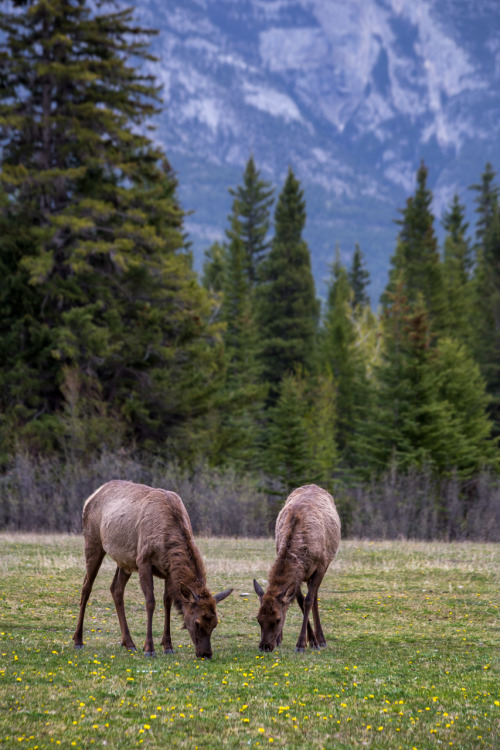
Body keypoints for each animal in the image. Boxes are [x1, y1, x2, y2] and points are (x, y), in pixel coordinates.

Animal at [73, 484, 233, 660]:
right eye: (197, 622)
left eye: (215, 623)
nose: (206, 654)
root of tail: (91, 496)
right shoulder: (143, 560)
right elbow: (150, 602)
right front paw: (149, 648)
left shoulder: (168, 570)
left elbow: (167, 602)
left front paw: (168, 646)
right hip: (93, 542)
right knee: (86, 588)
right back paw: (78, 641)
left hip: (125, 560)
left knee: (116, 589)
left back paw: (129, 643)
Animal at [254, 488, 340, 652]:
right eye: (258, 619)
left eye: (278, 619)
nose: (265, 646)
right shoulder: (298, 575)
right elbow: (300, 601)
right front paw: (309, 640)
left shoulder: (321, 566)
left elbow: (308, 601)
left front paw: (303, 643)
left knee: (314, 598)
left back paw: (321, 639)